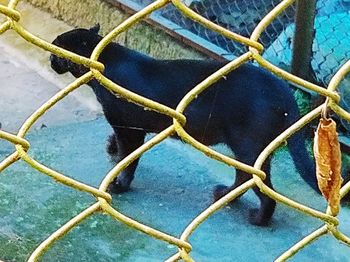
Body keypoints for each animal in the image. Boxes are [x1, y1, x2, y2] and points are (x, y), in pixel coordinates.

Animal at [50, 25, 318, 226]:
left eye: (56, 49)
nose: (50, 59)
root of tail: (281, 87)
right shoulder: (126, 128)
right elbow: (122, 149)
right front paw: (112, 150)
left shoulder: (129, 128)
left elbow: (130, 158)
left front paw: (119, 183)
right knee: (245, 177)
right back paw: (224, 196)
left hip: (247, 146)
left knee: (258, 184)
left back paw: (257, 218)